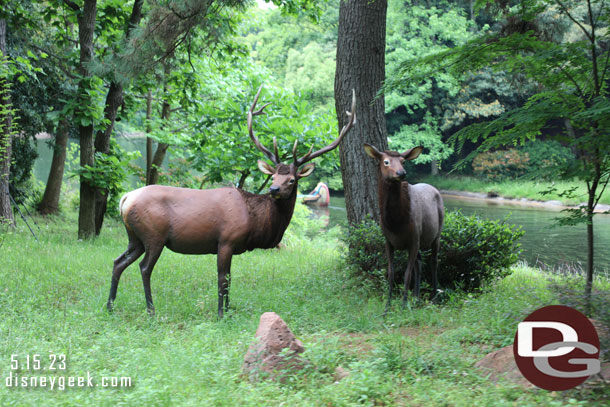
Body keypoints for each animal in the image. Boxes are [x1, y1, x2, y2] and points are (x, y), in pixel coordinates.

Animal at [107, 85, 354, 318]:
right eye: (274, 176)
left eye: (291, 179)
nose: (273, 189)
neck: (255, 222)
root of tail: (125, 198)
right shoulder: (226, 240)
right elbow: (222, 279)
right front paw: (220, 314)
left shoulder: (233, 245)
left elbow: (230, 279)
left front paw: (228, 310)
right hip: (154, 235)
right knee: (144, 268)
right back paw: (151, 310)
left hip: (135, 237)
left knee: (118, 262)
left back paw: (110, 306)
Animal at [360, 144, 442, 312]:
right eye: (385, 161)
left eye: (403, 161)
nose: (401, 173)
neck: (396, 223)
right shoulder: (388, 241)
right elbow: (391, 273)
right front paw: (387, 306)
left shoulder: (414, 240)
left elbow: (406, 274)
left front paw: (403, 306)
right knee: (420, 262)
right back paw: (416, 298)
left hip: (437, 234)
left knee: (433, 262)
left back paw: (434, 298)